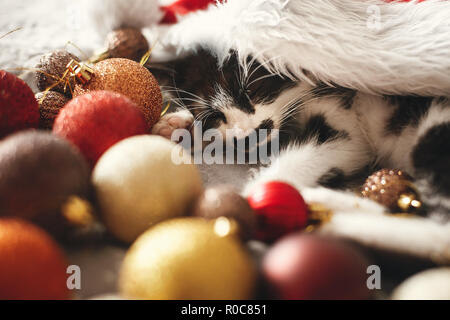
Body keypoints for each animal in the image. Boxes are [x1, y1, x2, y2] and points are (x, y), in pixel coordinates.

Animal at [149, 48, 450, 219]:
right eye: (213, 115)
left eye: (251, 89)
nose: (247, 136)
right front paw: (177, 124)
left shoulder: (346, 124)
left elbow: (306, 157)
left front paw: (255, 194)